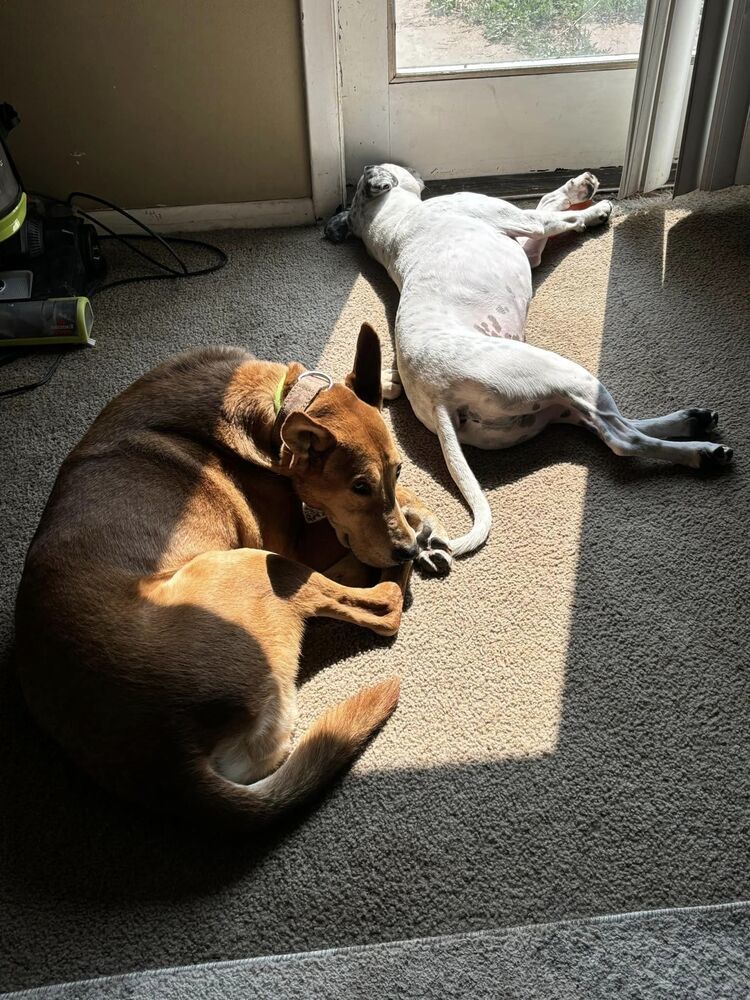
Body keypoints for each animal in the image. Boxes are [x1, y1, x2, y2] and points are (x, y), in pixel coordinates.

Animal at [16, 326, 452, 828]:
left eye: (396, 468)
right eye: (358, 488)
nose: (405, 548)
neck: (280, 407)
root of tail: (170, 763)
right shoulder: (296, 543)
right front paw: (417, 527)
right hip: (256, 564)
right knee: (383, 605)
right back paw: (382, 571)